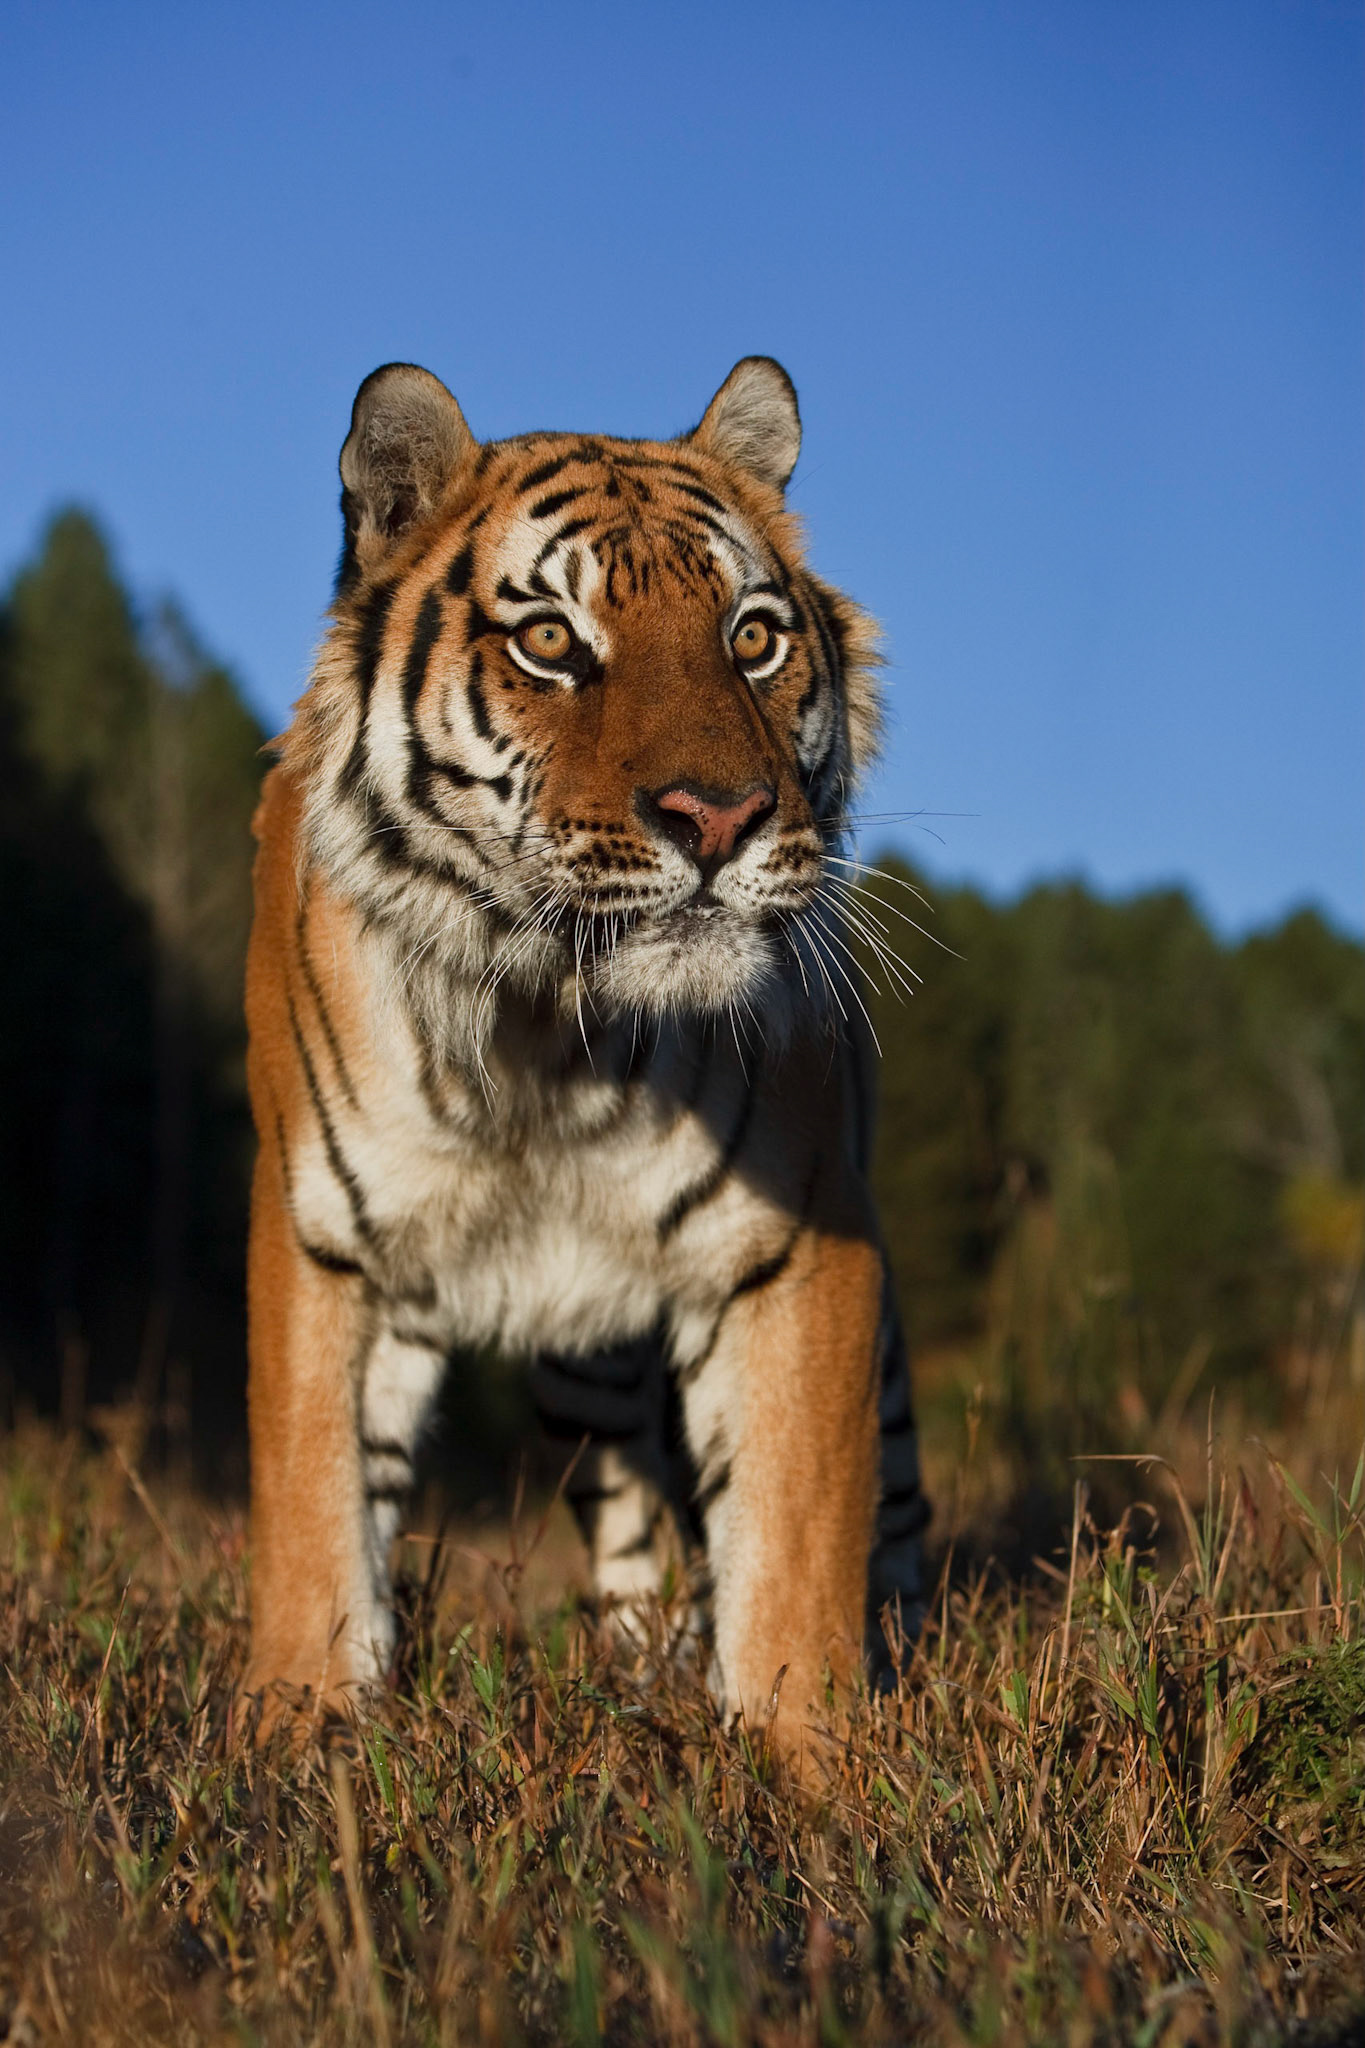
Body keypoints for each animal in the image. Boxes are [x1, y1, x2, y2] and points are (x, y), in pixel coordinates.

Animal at [242, 356, 928, 1762]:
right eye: (551, 641)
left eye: (753, 637)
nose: (721, 816)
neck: (543, 1040)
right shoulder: (322, 1238)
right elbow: (313, 1512)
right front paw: (291, 1741)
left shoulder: (803, 1241)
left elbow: (796, 1547)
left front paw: (818, 1771)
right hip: (585, 1369)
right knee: (630, 1529)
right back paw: (637, 1670)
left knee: (890, 1522)